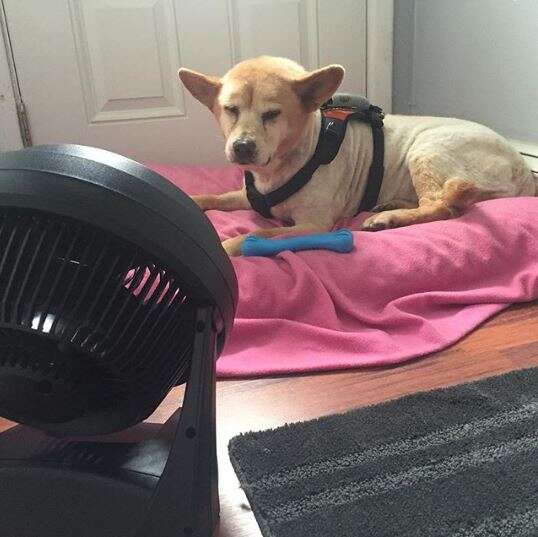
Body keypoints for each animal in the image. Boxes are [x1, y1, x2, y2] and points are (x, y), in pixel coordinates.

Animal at [178, 55, 532, 256]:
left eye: (272, 115)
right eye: (231, 110)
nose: (242, 147)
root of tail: (523, 169)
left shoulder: (313, 225)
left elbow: (256, 233)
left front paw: (225, 246)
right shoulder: (249, 195)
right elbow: (214, 197)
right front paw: (192, 201)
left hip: (427, 148)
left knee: (442, 206)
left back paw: (389, 218)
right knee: (438, 202)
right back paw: (391, 205)